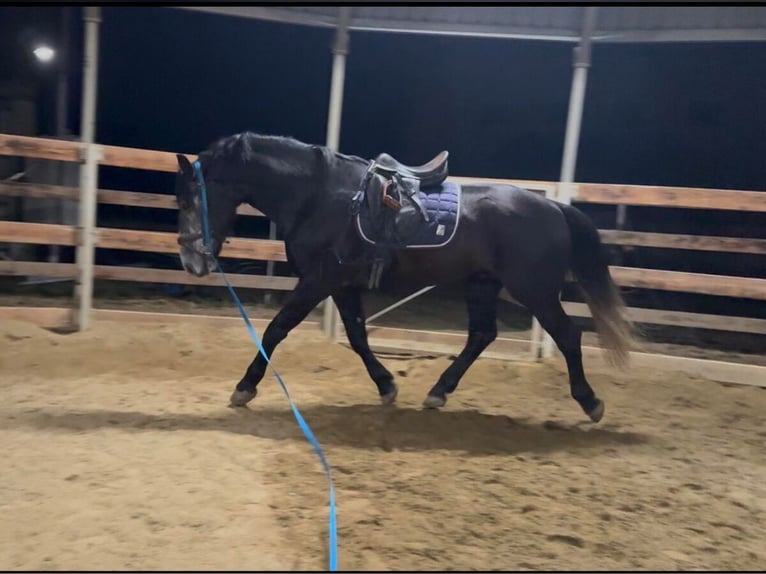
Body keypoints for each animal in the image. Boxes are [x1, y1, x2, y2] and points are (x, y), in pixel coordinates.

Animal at [174, 131, 635, 423]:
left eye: (191, 198)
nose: (191, 261)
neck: (320, 196)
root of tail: (555, 207)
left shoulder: (319, 281)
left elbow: (275, 329)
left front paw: (244, 387)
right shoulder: (342, 285)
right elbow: (358, 336)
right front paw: (386, 385)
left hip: (534, 291)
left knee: (567, 336)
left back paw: (590, 402)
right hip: (482, 283)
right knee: (481, 335)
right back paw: (438, 391)